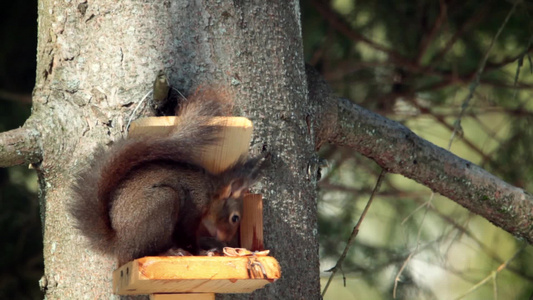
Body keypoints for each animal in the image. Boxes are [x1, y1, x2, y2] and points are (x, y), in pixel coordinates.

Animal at [69, 88, 266, 264]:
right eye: (235, 218)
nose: (227, 240)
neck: (211, 192)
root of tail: (120, 243)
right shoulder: (193, 208)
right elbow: (187, 237)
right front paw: (203, 251)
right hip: (163, 202)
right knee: (141, 253)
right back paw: (170, 252)